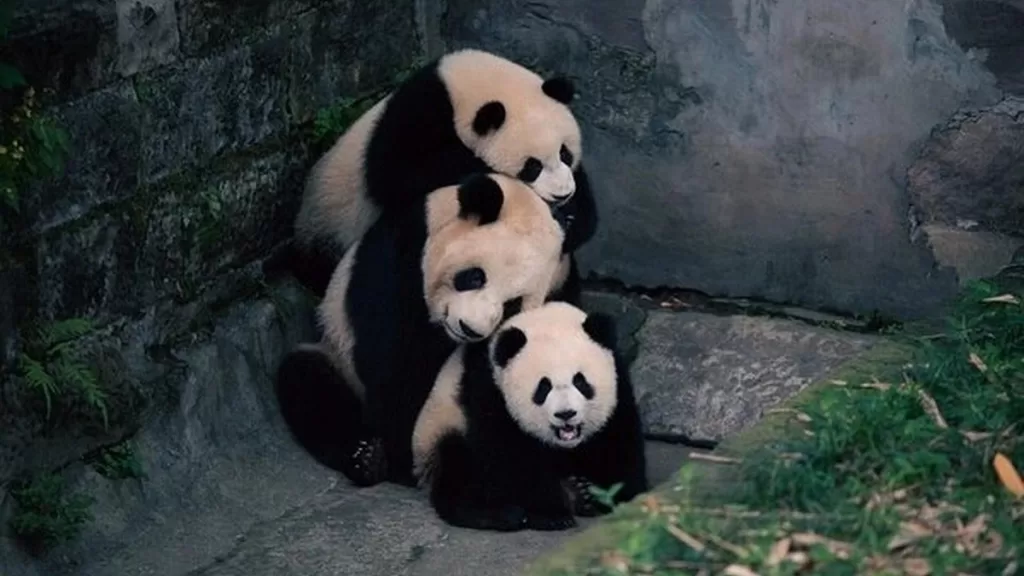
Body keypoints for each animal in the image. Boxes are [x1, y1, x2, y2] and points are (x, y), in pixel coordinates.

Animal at [275, 172, 569, 488]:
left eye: (513, 304)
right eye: (475, 277)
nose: (471, 329)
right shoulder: (401, 264)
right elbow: (394, 362)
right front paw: (401, 459)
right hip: (336, 356)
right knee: (310, 385)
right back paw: (366, 459)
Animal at [290, 48, 598, 300]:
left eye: (565, 154)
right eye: (532, 167)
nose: (562, 194)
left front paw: (572, 217)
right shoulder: (415, 116)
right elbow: (399, 174)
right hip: (330, 227)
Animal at [411, 301, 648, 531]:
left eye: (580, 382)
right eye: (543, 387)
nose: (566, 414)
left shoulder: (619, 382)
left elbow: (617, 441)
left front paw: (617, 497)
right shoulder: (489, 391)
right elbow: (511, 456)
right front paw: (552, 513)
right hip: (442, 427)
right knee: (458, 469)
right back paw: (500, 514)